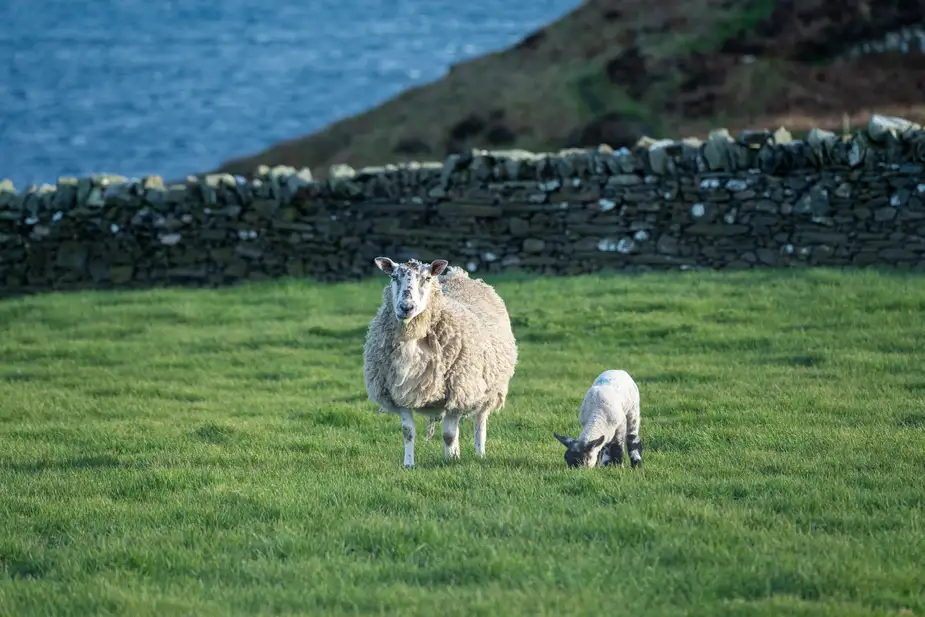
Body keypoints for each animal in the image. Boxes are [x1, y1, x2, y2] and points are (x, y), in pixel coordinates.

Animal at [362, 255, 520, 466]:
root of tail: (458, 274)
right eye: (394, 277)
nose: (406, 307)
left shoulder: (458, 391)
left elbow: (449, 435)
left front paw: (451, 461)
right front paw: (409, 464)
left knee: (480, 422)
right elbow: (408, 432)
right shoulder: (398, 394)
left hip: (490, 389)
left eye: (427, 278)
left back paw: (480, 453)